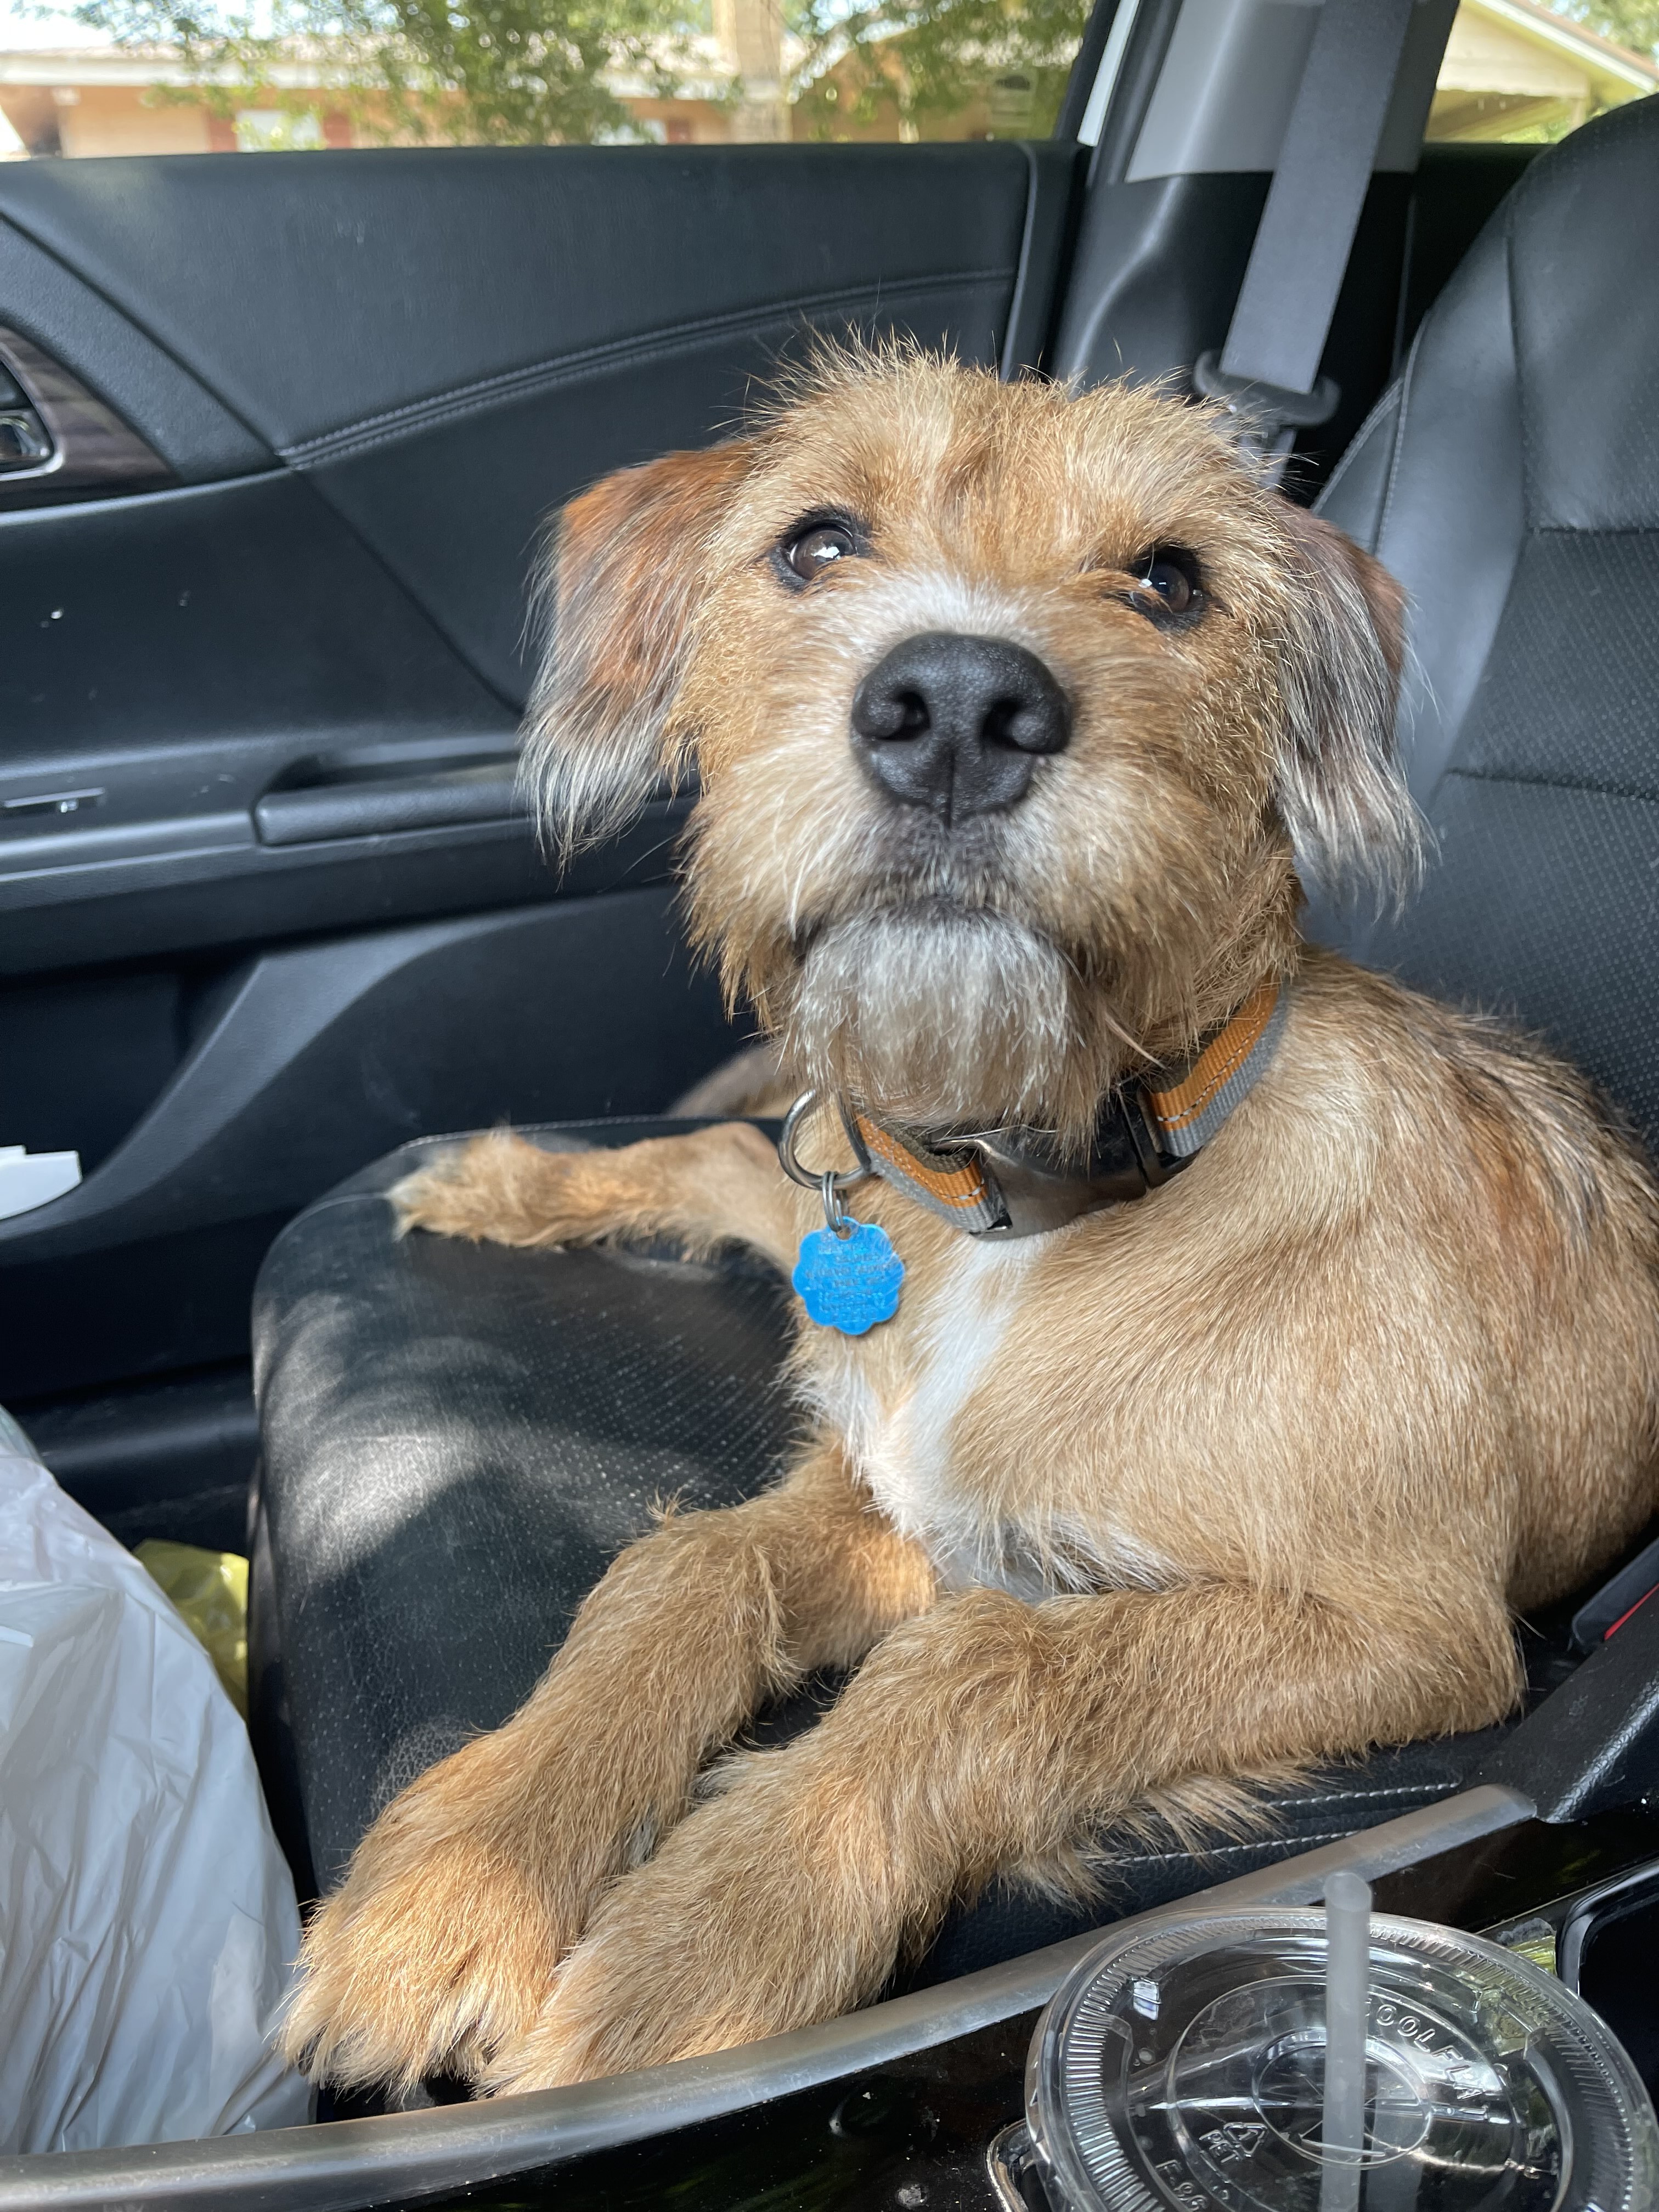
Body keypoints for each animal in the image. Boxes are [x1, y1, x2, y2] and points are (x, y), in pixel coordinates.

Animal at [280, 345, 1659, 2088]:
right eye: (814, 543)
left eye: (1171, 580)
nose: (954, 708)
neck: (1019, 1210)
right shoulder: (894, 1497)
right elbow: (682, 1567)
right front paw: (474, 1865)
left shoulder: (1405, 1631)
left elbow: (984, 1673)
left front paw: (700, 1947)